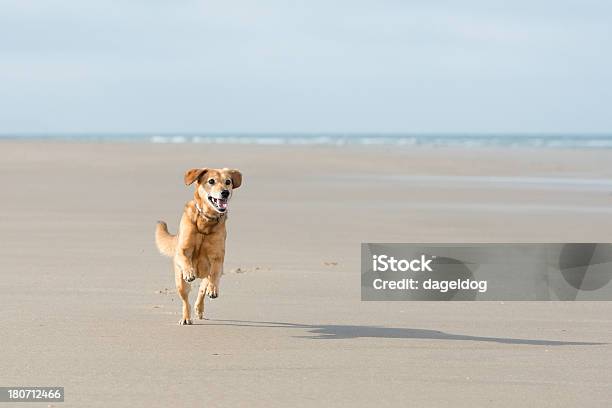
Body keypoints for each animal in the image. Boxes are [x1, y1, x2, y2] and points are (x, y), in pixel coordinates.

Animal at [154, 167, 243, 326]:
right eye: (211, 181)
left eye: (228, 182)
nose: (225, 192)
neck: (206, 221)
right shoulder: (182, 249)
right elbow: (185, 259)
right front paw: (189, 272)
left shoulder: (217, 257)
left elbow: (214, 274)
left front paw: (213, 289)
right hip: (180, 283)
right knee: (185, 300)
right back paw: (186, 317)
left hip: (207, 276)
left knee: (202, 289)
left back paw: (200, 308)